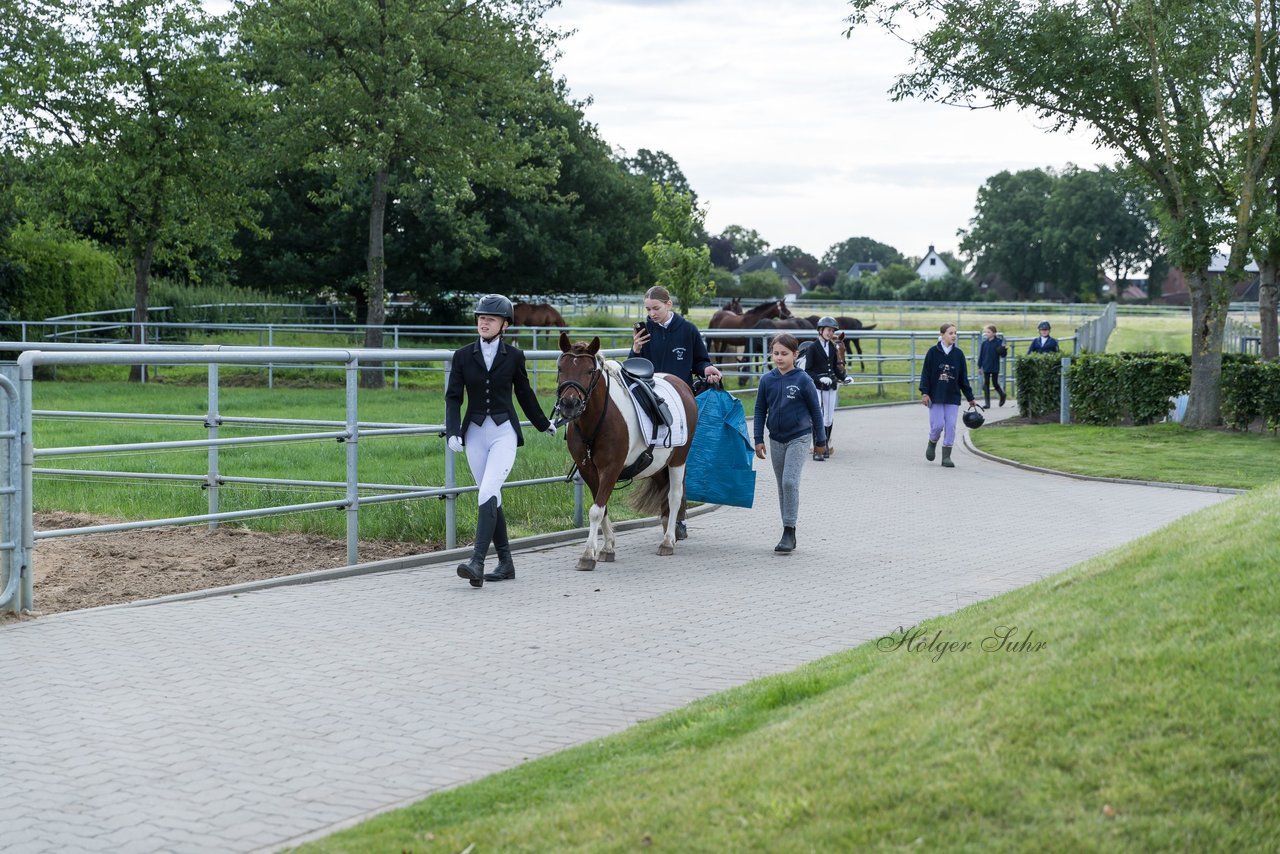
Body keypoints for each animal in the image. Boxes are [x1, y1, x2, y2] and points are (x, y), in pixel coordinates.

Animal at [552, 332, 696, 573]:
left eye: (589, 371)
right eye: (561, 368)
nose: (569, 404)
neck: (597, 421)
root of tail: (681, 385)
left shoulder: (610, 469)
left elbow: (596, 510)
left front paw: (588, 554)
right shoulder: (588, 470)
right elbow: (602, 509)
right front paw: (608, 547)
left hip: (678, 459)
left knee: (674, 496)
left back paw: (667, 541)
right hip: (658, 465)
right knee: (665, 495)